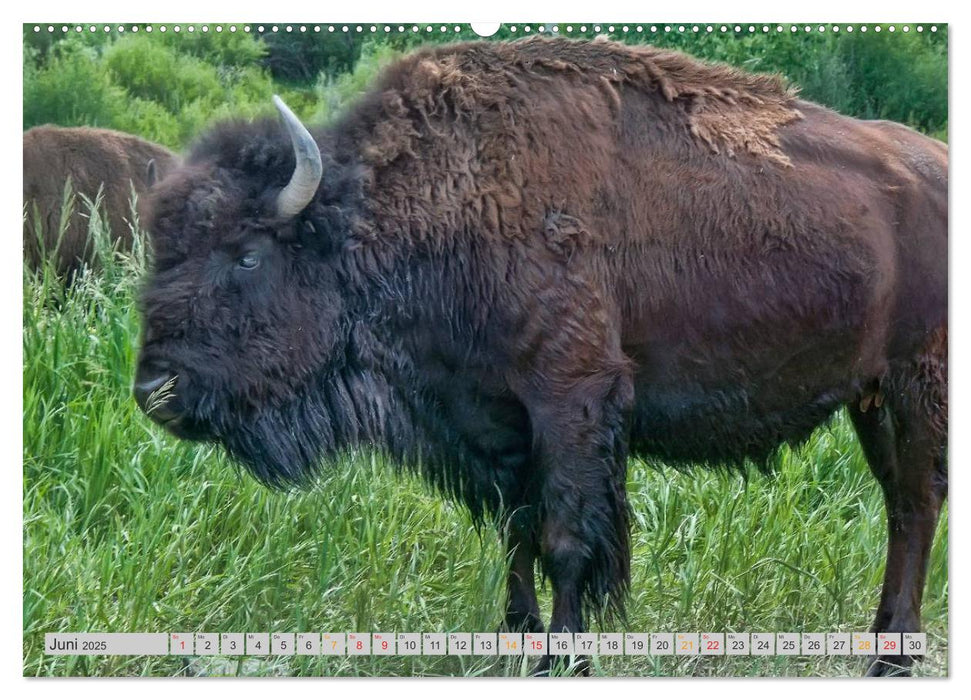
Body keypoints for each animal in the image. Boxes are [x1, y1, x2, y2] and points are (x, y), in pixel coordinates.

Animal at [133, 35, 944, 676]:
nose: (154, 391)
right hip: (869, 397)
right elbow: (516, 531)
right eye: (164, 249)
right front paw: (515, 640)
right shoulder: (497, 420)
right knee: (900, 506)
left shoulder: (570, 399)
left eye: (245, 255)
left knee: (917, 500)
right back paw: (880, 644)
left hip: (917, 385)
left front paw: (564, 656)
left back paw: (892, 657)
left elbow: (564, 538)